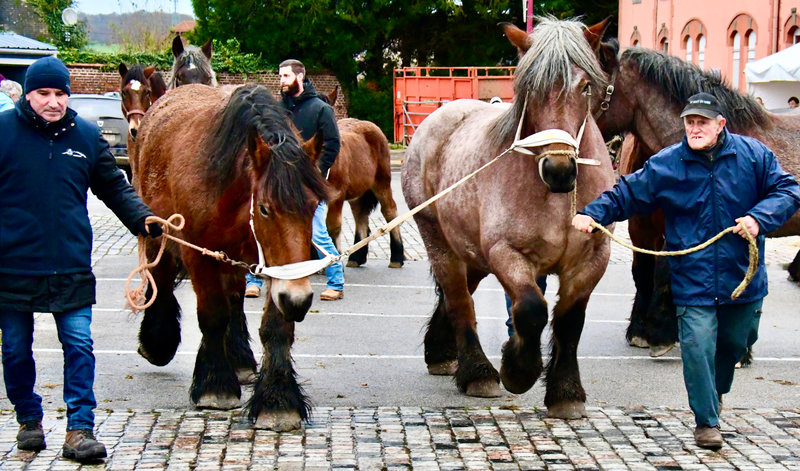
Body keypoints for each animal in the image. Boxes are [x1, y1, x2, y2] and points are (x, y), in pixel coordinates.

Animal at [133, 82, 330, 432]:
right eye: (264, 208)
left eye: (314, 205)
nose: (298, 300)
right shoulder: (200, 256)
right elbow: (213, 316)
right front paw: (215, 386)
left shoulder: (275, 267)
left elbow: (275, 328)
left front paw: (278, 400)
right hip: (159, 233)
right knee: (161, 279)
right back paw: (158, 341)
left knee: (235, 298)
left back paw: (238, 358)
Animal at [404, 16, 616, 418]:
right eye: (530, 87)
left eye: (585, 86)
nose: (559, 170)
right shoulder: (506, 253)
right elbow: (531, 309)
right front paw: (517, 368)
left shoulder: (591, 260)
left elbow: (570, 322)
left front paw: (566, 392)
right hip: (440, 243)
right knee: (459, 300)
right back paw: (478, 373)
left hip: (471, 253)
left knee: (459, 296)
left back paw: (441, 353)